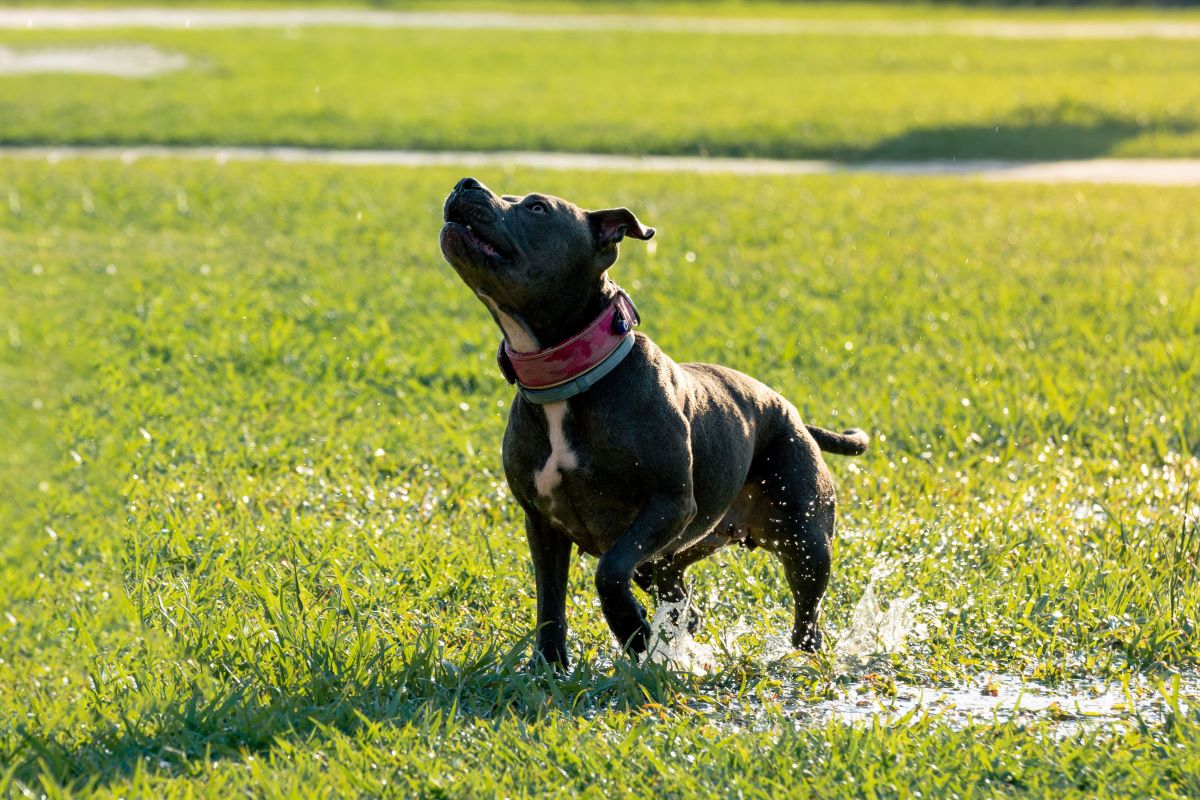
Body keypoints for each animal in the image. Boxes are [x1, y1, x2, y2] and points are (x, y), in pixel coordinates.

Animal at [436, 178, 868, 666]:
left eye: (537, 207)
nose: (466, 182)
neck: (570, 379)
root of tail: (793, 415)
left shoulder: (668, 504)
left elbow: (608, 571)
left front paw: (634, 633)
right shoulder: (542, 522)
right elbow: (550, 601)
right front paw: (550, 666)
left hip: (805, 541)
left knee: (806, 615)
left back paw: (800, 656)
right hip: (672, 555)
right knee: (681, 600)